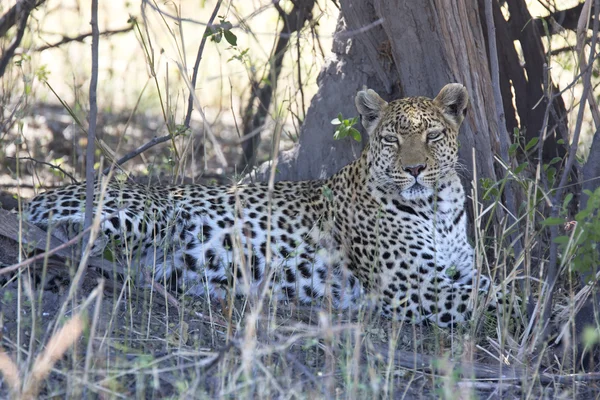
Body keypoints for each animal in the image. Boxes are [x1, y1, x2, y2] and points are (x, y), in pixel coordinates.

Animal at [25, 83, 512, 328]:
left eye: (432, 135)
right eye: (392, 139)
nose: (413, 169)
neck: (437, 208)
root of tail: (37, 194)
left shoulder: (454, 271)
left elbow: (497, 283)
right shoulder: (411, 287)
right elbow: (498, 296)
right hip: (144, 214)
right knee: (56, 245)